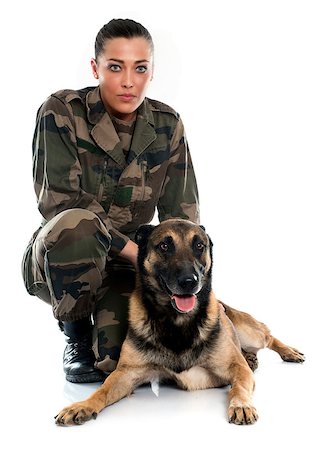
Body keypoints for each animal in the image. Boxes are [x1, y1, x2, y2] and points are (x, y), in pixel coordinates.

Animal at [55, 218, 306, 426]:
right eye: (164, 246)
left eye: (199, 246)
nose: (189, 282)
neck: (176, 321)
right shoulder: (125, 374)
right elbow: (102, 390)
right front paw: (82, 405)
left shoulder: (238, 369)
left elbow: (238, 388)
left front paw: (241, 405)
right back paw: (253, 357)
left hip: (251, 333)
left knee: (268, 336)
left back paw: (288, 352)